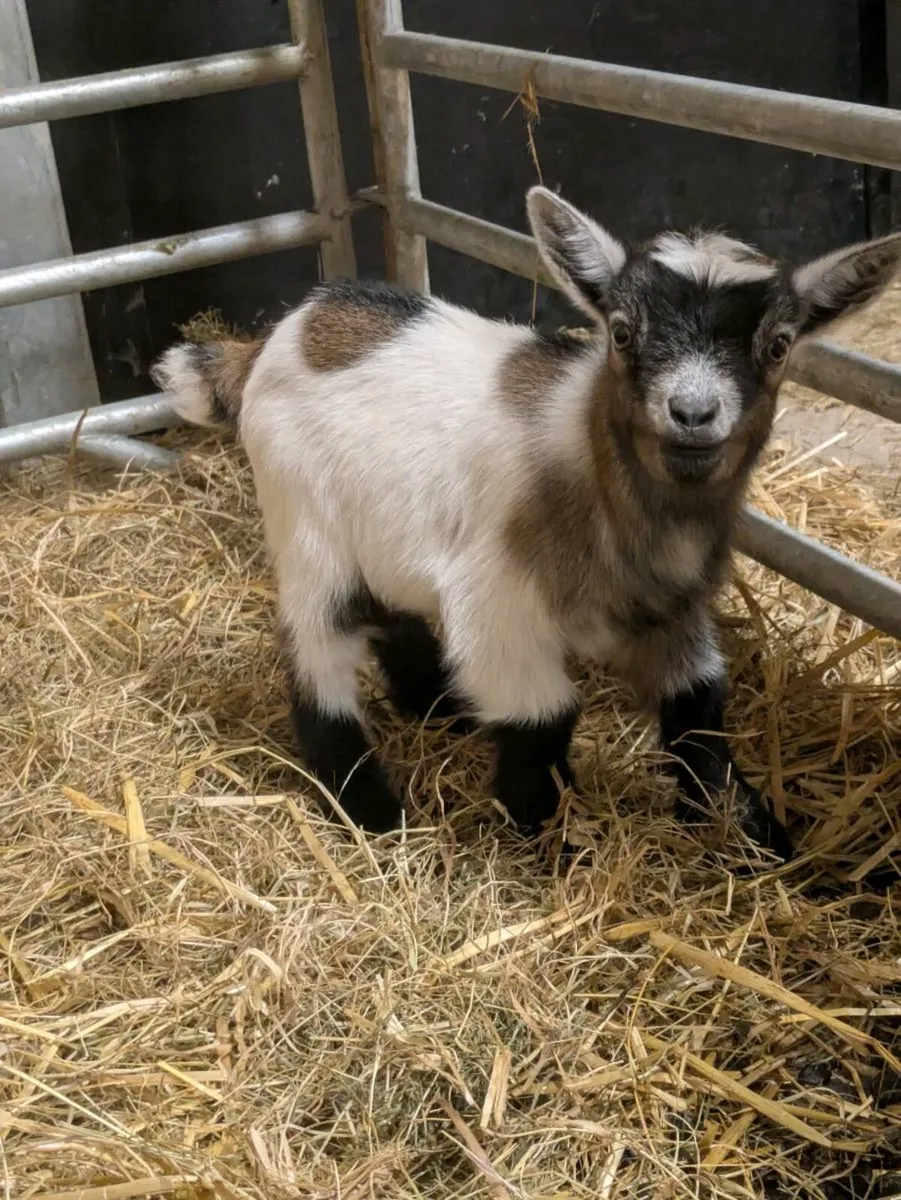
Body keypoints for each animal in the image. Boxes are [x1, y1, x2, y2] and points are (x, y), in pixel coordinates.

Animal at [152, 186, 901, 860]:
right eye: (620, 332)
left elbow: (698, 710)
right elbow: (542, 719)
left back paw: (441, 709)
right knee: (318, 655)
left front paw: (749, 834)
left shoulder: (672, 610)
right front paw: (554, 840)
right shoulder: (497, 604)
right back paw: (369, 809)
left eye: (777, 345)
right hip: (306, 529)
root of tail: (275, 336)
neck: (601, 488)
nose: (691, 414)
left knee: (392, 613)